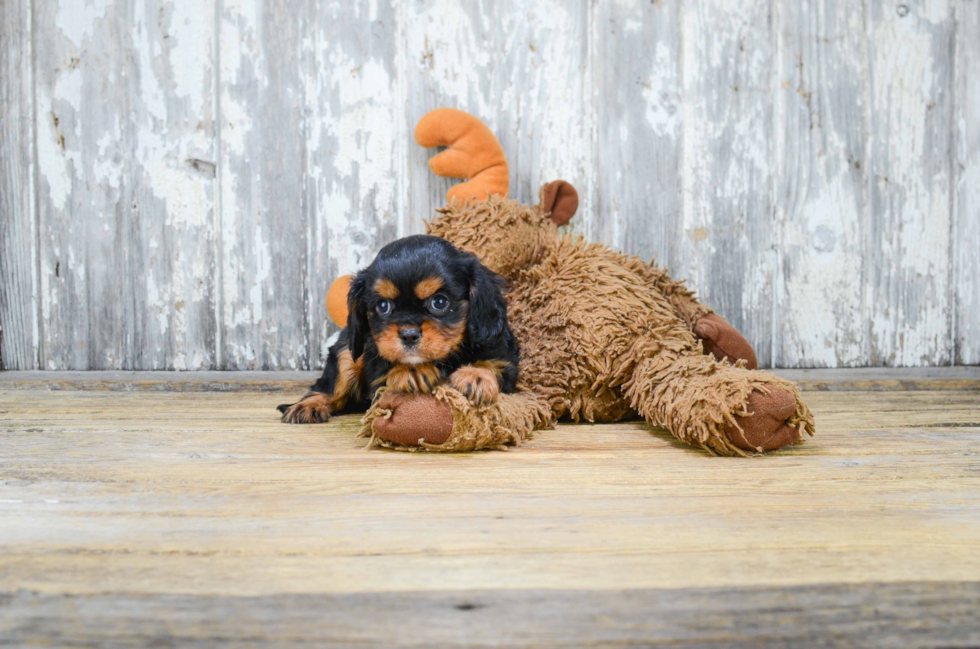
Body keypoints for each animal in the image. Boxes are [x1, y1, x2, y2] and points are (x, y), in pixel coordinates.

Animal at [278, 235, 520, 422]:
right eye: (383, 306)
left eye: (439, 302)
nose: (409, 335)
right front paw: (411, 370)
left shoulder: (503, 356)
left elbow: (494, 365)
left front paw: (475, 375)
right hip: (346, 351)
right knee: (328, 386)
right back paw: (309, 405)